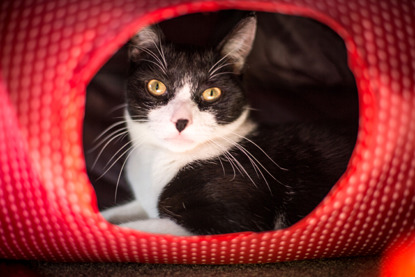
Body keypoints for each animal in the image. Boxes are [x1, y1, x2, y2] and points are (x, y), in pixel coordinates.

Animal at [101, 15, 358, 235]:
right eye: (156, 86)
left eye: (212, 93)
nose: (181, 121)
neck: (158, 161)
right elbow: (113, 214)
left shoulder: (229, 219)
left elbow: (133, 229)